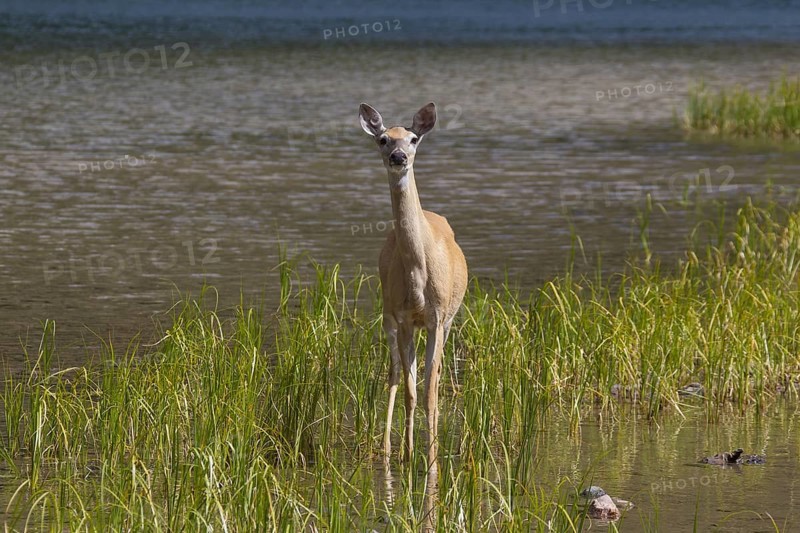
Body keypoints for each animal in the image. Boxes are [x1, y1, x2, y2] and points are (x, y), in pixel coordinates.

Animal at [359, 102, 468, 474]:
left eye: (413, 138)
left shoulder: (437, 317)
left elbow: (431, 391)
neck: (419, 277)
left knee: (434, 374)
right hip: (387, 316)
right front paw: (408, 456)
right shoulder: (404, 317)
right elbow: (410, 390)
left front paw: (432, 460)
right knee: (393, 373)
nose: (398, 156)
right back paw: (387, 448)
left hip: (448, 320)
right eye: (382, 139)